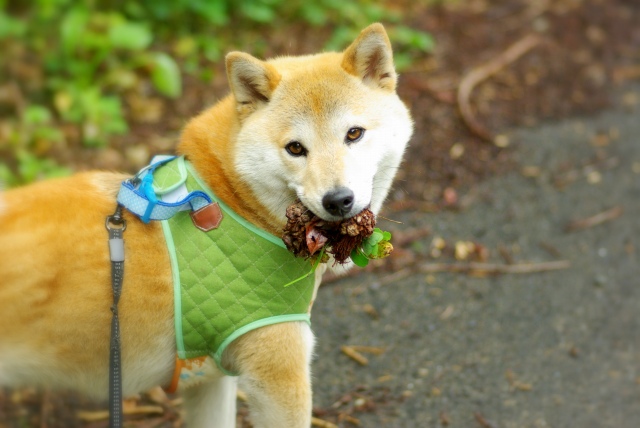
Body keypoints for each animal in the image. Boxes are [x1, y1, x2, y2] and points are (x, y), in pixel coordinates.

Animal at [0, 23, 413, 427]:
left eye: (354, 134)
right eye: (296, 148)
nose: (338, 200)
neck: (232, 204)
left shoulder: (208, 377)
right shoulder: (280, 376)